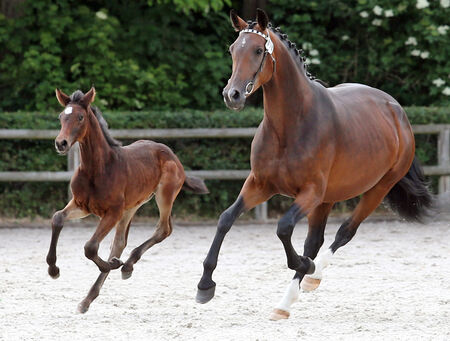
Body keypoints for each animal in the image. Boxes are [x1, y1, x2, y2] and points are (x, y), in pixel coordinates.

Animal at [46, 88, 208, 314]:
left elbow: (90, 247)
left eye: (80, 117)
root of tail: (172, 155)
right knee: (120, 242)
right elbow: (57, 219)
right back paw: (89, 298)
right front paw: (53, 269)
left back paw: (126, 265)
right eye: (61, 116)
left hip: (163, 196)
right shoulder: (81, 205)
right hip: (131, 207)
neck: (98, 168)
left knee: (163, 229)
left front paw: (114, 264)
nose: (60, 143)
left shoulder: (111, 212)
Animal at [196, 9, 432, 318]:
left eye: (258, 50)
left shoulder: (310, 193)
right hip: (328, 198)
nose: (231, 95)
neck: (290, 127)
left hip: (376, 190)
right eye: (233, 49)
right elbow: (226, 219)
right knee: (316, 239)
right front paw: (204, 285)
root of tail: (397, 111)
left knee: (344, 232)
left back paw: (307, 280)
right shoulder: (259, 184)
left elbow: (284, 228)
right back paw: (293, 294)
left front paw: (305, 265)